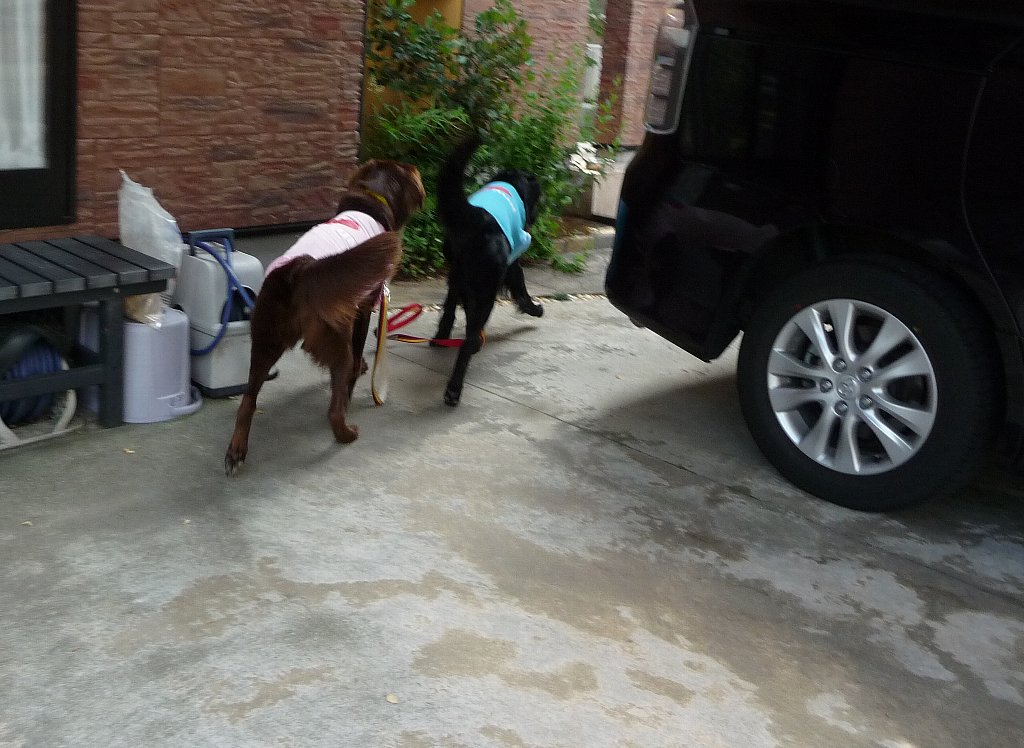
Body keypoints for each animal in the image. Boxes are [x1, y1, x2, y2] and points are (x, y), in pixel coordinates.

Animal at [224, 159, 425, 475]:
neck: (373, 197)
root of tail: (300, 269)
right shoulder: (363, 309)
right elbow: (356, 358)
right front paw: (357, 377)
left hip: (265, 339)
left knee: (248, 399)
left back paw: (236, 452)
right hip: (334, 340)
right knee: (334, 407)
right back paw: (347, 434)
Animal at [434, 135, 543, 406]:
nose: (535, 215)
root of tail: (479, 218)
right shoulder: (512, 264)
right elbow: (521, 288)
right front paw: (534, 309)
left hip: (459, 273)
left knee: (451, 312)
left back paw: (441, 338)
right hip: (487, 289)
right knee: (469, 337)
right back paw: (454, 389)